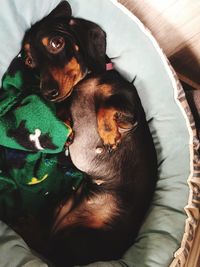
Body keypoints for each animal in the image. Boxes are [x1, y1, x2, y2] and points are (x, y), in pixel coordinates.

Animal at [22, 1, 158, 266]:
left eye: (56, 43)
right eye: (30, 60)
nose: (48, 92)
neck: (83, 84)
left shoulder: (128, 107)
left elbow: (107, 105)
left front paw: (109, 134)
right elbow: (64, 110)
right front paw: (67, 127)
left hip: (74, 240)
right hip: (63, 212)